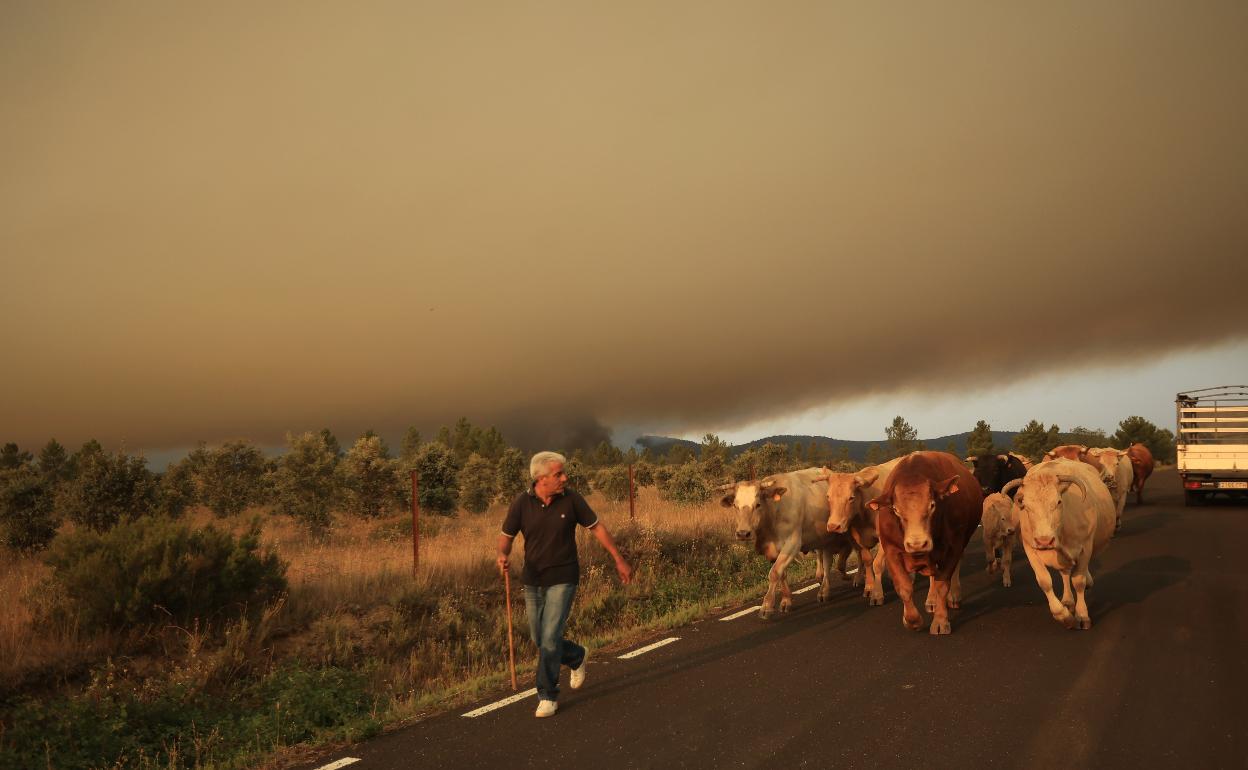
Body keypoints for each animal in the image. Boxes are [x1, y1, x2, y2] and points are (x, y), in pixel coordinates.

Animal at [868, 446, 983, 633]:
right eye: (895, 510)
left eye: (932, 505)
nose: (917, 544)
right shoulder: (891, 550)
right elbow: (904, 587)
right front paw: (911, 620)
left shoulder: (953, 547)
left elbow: (943, 585)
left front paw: (941, 621)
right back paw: (931, 600)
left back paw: (952, 596)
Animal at [998, 456, 1118, 631]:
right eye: (1025, 505)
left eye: (1059, 502)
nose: (1044, 540)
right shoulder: (1030, 549)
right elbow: (1045, 581)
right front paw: (1064, 616)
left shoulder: (1085, 547)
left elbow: (1078, 581)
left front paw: (1082, 615)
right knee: (1065, 573)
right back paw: (1067, 601)